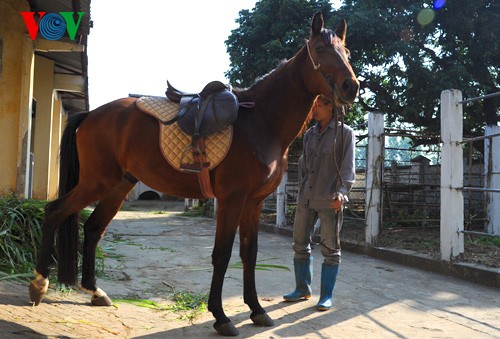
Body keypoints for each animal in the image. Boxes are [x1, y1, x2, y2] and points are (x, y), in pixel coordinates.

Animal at [29, 12, 358, 338]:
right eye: (319, 49)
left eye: (347, 52)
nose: (350, 87)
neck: (261, 121)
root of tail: (91, 115)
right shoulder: (231, 200)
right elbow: (222, 255)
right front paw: (221, 316)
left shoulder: (253, 203)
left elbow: (249, 254)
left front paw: (257, 310)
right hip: (96, 182)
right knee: (54, 212)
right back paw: (39, 284)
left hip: (117, 186)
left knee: (93, 228)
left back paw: (95, 291)